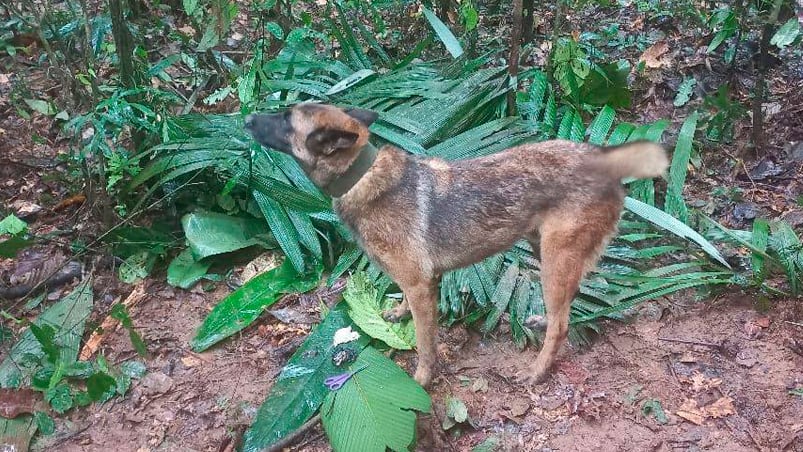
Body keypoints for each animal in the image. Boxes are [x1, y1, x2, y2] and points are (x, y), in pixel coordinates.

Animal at [242, 104, 668, 386]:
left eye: (285, 118)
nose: (245, 119)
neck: (361, 176)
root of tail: (604, 160)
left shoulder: (421, 286)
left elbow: (424, 344)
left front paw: (422, 379)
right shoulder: (415, 283)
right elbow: (405, 305)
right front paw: (398, 312)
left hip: (555, 257)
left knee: (563, 324)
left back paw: (537, 370)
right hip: (545, 252)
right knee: (565, 305)